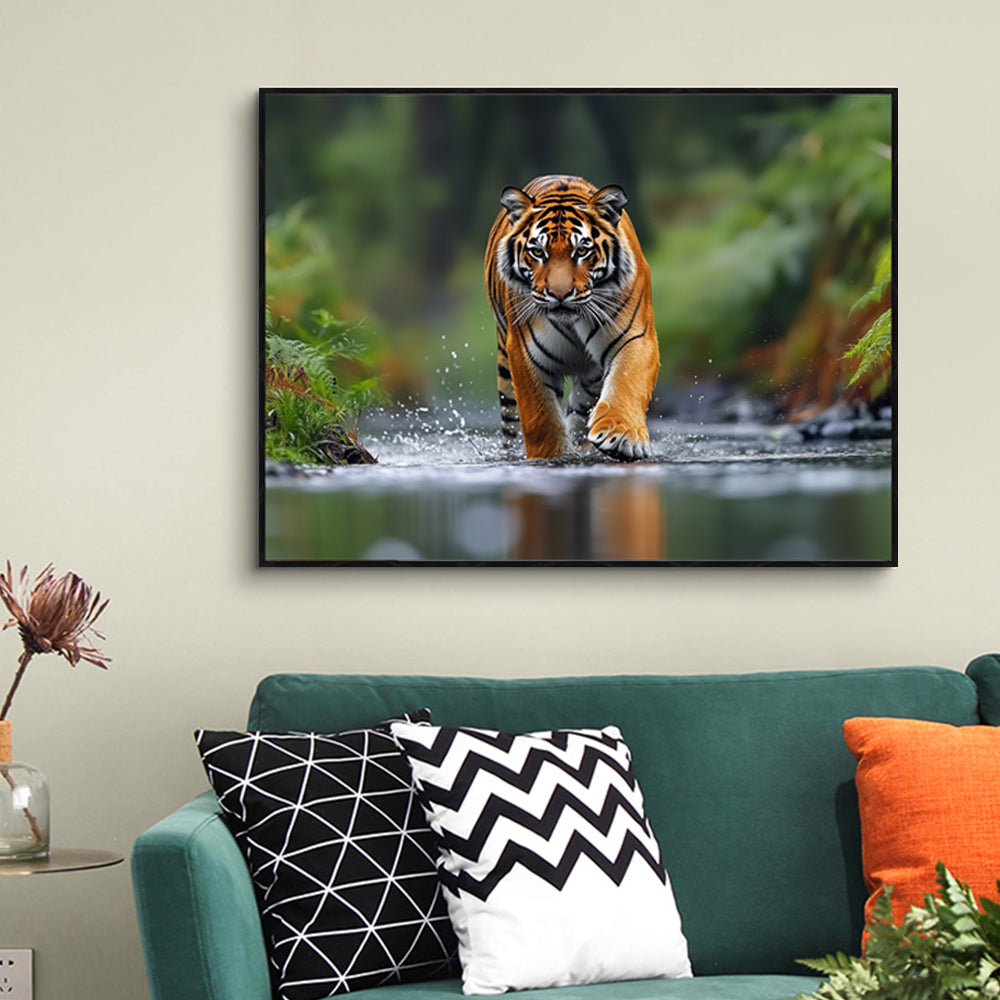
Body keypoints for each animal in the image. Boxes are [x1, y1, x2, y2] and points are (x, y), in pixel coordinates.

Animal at [485, 174, 660, 461]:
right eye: (537, 252)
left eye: (582, 251)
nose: (559, 294)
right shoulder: (525, 354)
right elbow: (541, 419)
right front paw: (550, 456)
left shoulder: (635, 336)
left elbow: (628, 381)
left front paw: (621, 436)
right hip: (505, 378)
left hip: (590, 380)